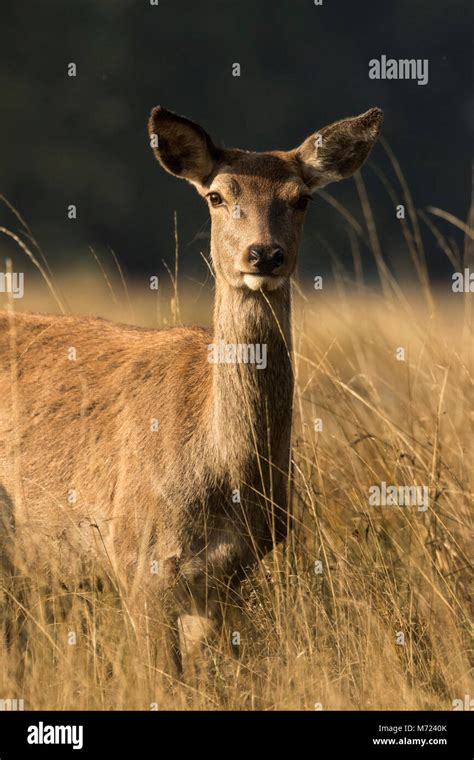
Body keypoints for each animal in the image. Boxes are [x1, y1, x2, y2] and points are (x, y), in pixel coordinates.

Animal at [0, 102, 384, 676]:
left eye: (302, 198)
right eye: (217, 195)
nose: (263, 254)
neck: (221, 469)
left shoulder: (226, 578)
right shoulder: (138, 558)